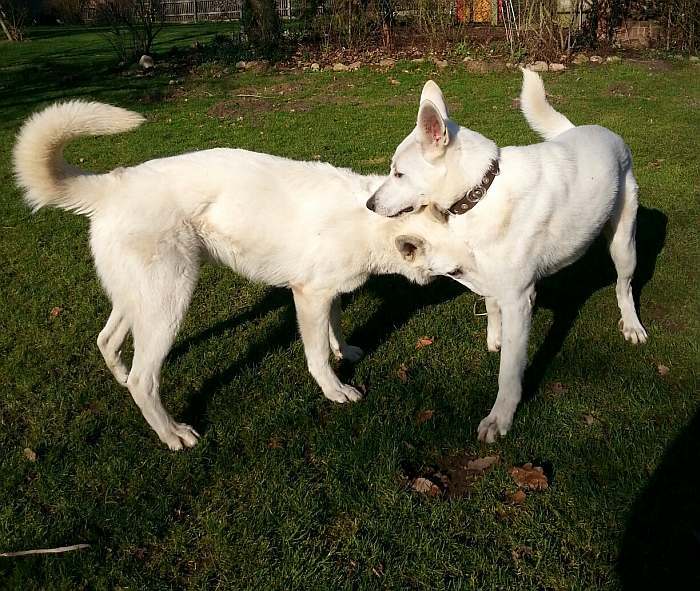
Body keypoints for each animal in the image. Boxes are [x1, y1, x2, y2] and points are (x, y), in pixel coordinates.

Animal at [12, 102, 470, 450]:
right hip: (170, 302)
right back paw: (172, 432)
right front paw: (334, 389)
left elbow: (335, 330)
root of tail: (113, 185)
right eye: (461, 269)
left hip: (140, 301)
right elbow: (317, 355)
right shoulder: (308, 296)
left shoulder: (329, 293)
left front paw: (345, 351)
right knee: (145, 380)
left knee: (106, 342)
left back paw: (123, 381)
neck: (372, 221)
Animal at [370, 69, 648, 442]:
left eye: (399, 173)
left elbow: (509, 371)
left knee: (624, 287)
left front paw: (500, 417)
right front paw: (495, 337)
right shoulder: (487, 275)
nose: (369, 204)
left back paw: (631, 324)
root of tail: (595, 130)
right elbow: (490, 306)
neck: (481, 193)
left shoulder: (520, 298)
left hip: (623, 246)